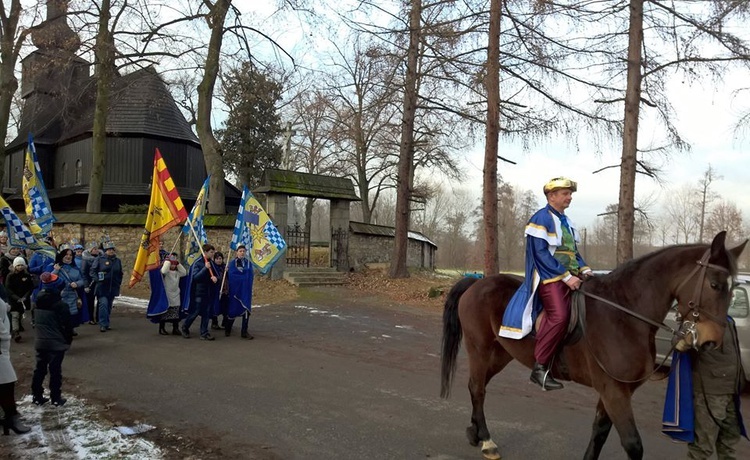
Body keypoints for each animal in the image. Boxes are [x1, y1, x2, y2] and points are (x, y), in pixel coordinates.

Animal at [440, 232, 748, 460]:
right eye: (715, 284)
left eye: (734, 288)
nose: (712, 340)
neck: (624, 313)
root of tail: (476, 283)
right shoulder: (614, 391)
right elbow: (633, 444)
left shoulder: (614, 391)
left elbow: (599, 433)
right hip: (480, 349)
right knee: (478, 388)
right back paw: (486, 441)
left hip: (501, 354)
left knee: (476, 386)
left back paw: (475, 432)